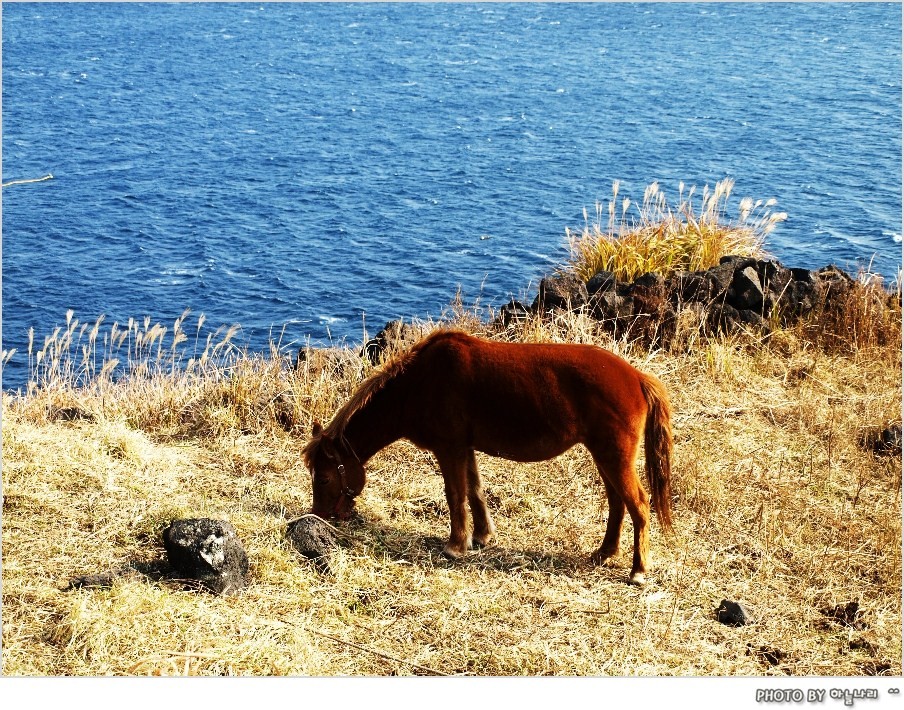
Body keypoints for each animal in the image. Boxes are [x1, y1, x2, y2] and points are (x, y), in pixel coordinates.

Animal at [304, 330, 672, 588]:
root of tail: (637, 378)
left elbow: (455, 495)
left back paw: (638, 570)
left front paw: (455, 545)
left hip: (614, 457)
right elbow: (475, 491)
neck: (419, 383)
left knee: (639, 505)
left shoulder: (449, 448)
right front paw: (481, 535)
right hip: (605, 456)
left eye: (323, 477)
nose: (319, 515)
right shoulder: (465, 448)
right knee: (617, 503)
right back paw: (605, 553)